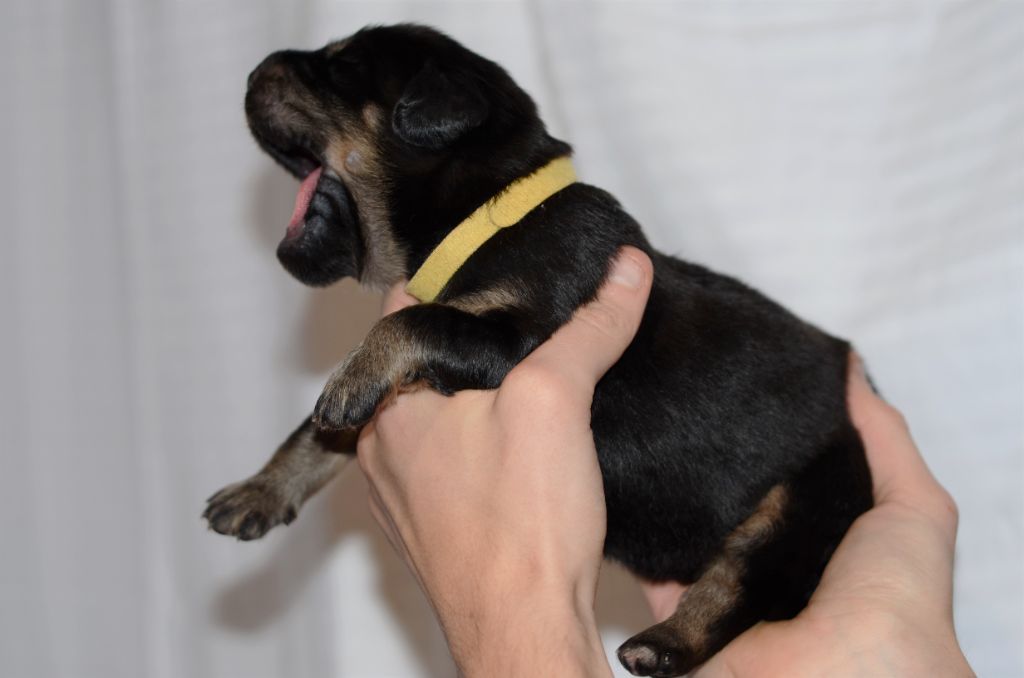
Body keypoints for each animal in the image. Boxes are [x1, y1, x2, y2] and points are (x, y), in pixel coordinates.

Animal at [204, 24, 873, 677]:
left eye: (341, 66)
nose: (254, 70)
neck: (483, 216)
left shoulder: (522, 334)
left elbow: (412, 322)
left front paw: (350, 382)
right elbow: (317, 431)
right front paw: (262, 487)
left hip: (807, 499)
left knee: (744, 584)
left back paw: (662, 644)